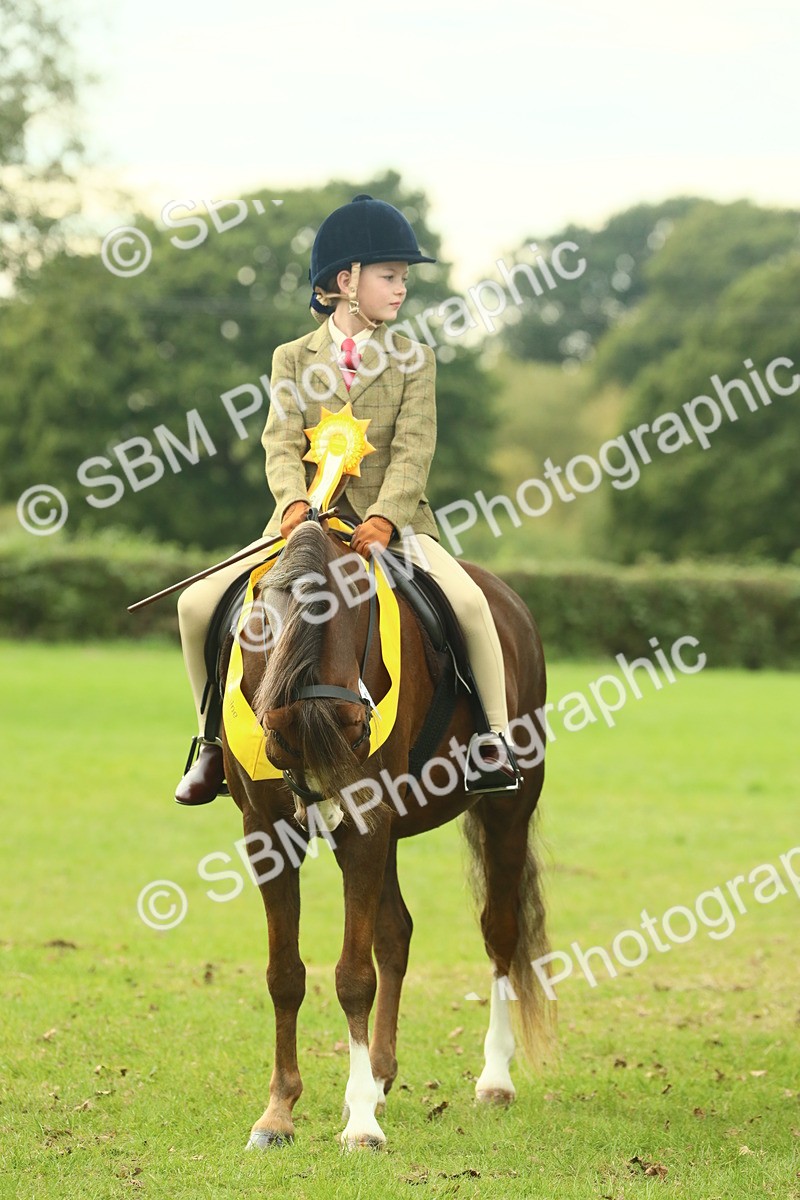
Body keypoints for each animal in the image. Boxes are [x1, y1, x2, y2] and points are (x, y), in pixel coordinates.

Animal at [221, 519, 553, 1151]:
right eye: (263, 622)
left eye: (363, 608)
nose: (341, 723)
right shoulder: (266, 832)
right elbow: (284, 975)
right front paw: (278, 1113)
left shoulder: (367, 822)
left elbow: (353, 976)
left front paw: (361, 1127)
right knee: (395, 933)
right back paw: (376, 1079)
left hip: (507, 812)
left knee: (499, 932)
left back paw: (493, 1078)